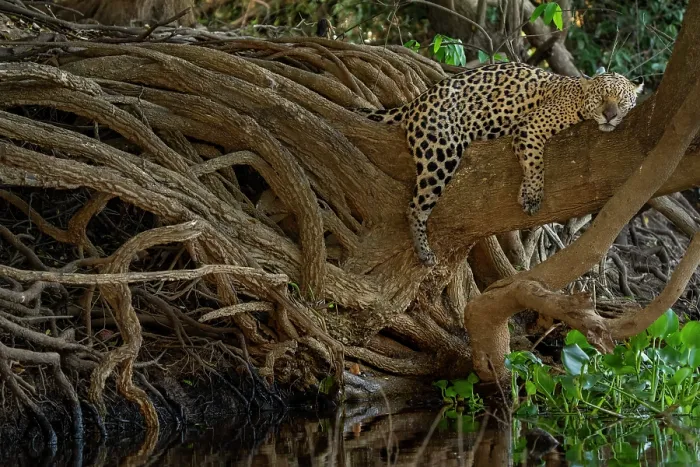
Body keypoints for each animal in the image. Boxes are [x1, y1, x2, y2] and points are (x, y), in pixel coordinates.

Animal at [357, 62, 643, 266]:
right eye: (602, 98)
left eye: (622, 100)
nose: (610, 115)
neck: (578, 100)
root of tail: (417, 100)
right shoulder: (531, 127)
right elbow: (536, 163)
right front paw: (532, 196)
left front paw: (526, 193)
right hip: (442, 151)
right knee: (416, 205)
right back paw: (424, 251)